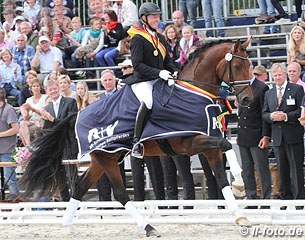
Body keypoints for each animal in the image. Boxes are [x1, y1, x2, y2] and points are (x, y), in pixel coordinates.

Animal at [19, 38, 252, 237]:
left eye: (250, 65)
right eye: (237, 67)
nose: (246, 100)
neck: (193, 93)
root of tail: (78, 114)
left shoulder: (208, 146)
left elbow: (221, 175)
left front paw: (240, 211)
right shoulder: (190, 144)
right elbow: (225, 144)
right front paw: (240, 186)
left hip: (104, 158)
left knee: (80, 187)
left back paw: (67, 225)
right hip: (107, 158)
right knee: (120, 193)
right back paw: (149, 227)